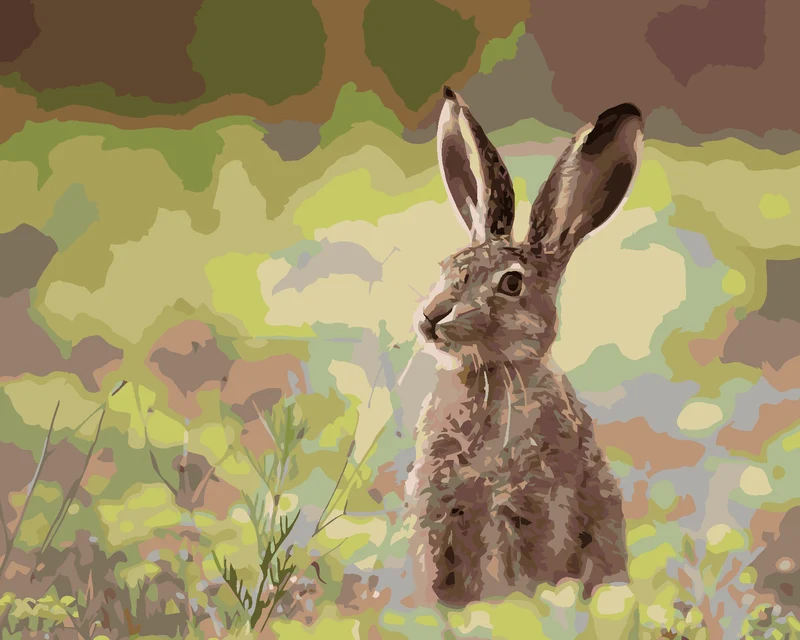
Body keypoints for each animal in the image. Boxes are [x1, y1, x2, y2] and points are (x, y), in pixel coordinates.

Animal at [404, 86, 644, 608]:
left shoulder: (533, 508)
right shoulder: (438, 510)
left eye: (512, 284)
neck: (493, 373)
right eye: (446, 264)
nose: (432, 316)